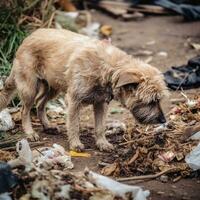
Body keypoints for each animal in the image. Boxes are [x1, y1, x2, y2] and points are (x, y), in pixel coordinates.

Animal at [0, 28, 168, 152]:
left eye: (158, 100)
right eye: (151, 101)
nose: (163, 120)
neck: (108, 68)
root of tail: (28, 37)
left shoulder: (101, 104)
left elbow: (100, 127)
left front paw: (102, 143)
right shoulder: (73, 100)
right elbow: (74, 125)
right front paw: (75, 144)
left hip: (52, 87)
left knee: (40, 104)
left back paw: (47, 126)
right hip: (29, 88)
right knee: (25, 110)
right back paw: (30, 133)